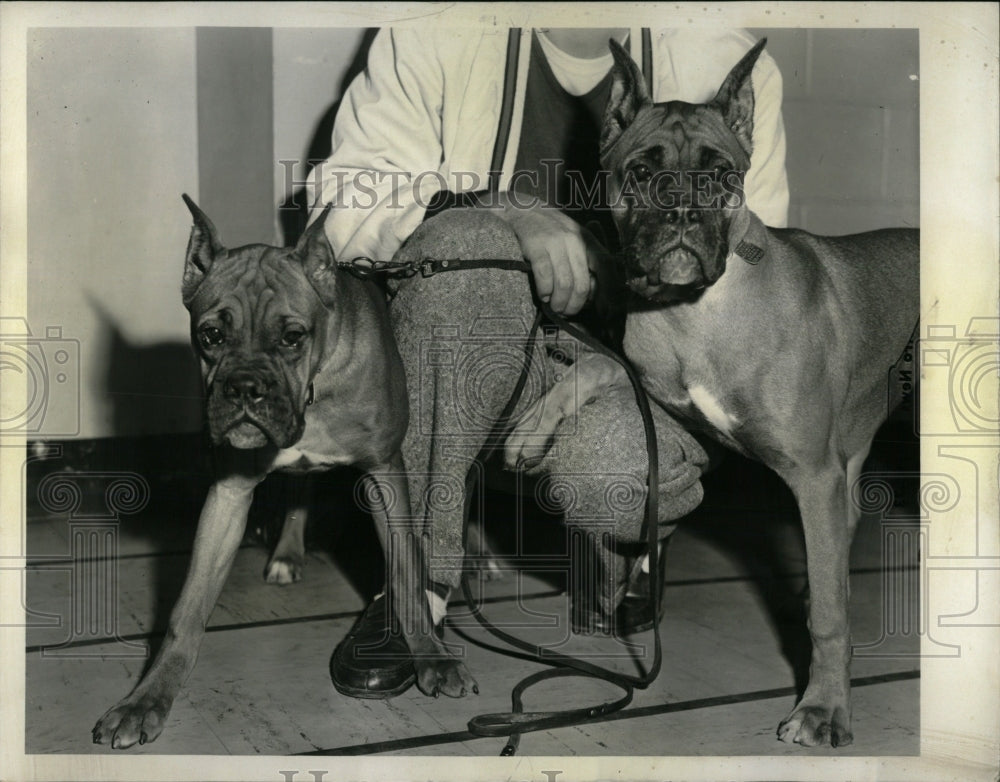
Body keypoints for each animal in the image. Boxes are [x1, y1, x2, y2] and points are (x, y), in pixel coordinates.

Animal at [92, 198, 474, 752]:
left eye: (293, 336)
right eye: (211, 335)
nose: (244, 388)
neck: (314, 385)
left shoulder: (386, 472)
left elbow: (405, 571)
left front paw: (431, 656)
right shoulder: (228, 496)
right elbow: (186, 610)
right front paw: (148, 698)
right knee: (298, 489)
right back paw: (287, 553)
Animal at [508, 41, 920, 748]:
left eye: (721, 174)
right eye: (641, 173)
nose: (680, 212)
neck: (695, 313)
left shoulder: (812, 477)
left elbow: (831, 619)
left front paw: (823, 708)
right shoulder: (673, 405)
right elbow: (599, 368)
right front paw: (538, 423)